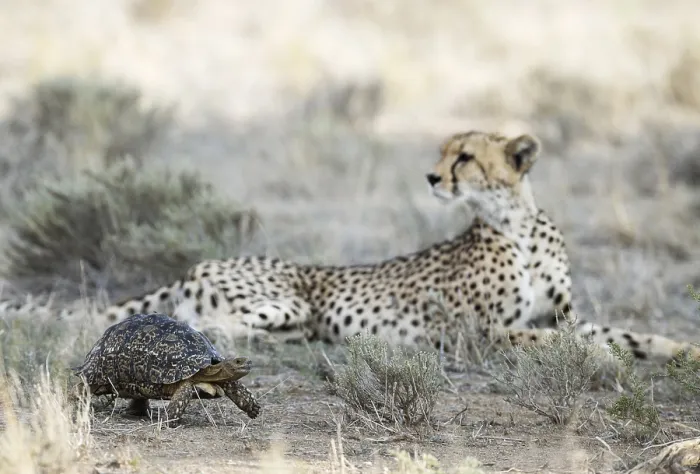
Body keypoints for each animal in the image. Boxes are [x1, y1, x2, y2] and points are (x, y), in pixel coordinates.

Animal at [69, 130, 700, 362]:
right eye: (443, 152)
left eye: (464, 156)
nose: (432, 177)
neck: (517, 223)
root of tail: (197, 262)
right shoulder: (479, 331)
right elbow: (556, 338)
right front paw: (602, 356)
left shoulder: (563, 313)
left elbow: (622, 331)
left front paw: (678, 348)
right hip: (287, 301)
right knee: (205, 325)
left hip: (295, 318)